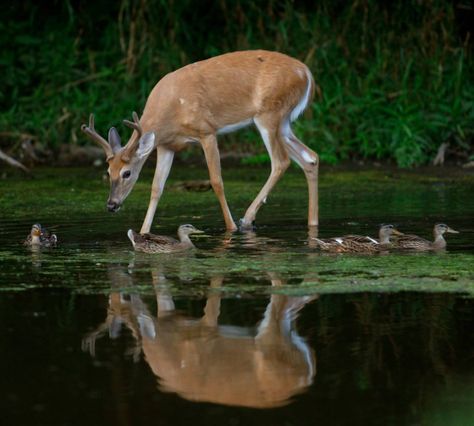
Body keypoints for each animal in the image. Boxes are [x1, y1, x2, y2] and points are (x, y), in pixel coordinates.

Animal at [81, 50, 318, 233]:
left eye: (127, 173)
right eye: (108, 171)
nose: (111, 205)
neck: (170, 113)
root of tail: (307, 73)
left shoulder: (207, 131)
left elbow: (216, 180)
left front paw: (231, 227)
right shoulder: (167, 145)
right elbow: (157, 188)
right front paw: (143, 232)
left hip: (269, 114)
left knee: (281, 161)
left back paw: (246, 219)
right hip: (283, 122)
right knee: (310, 157)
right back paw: (312, 222)